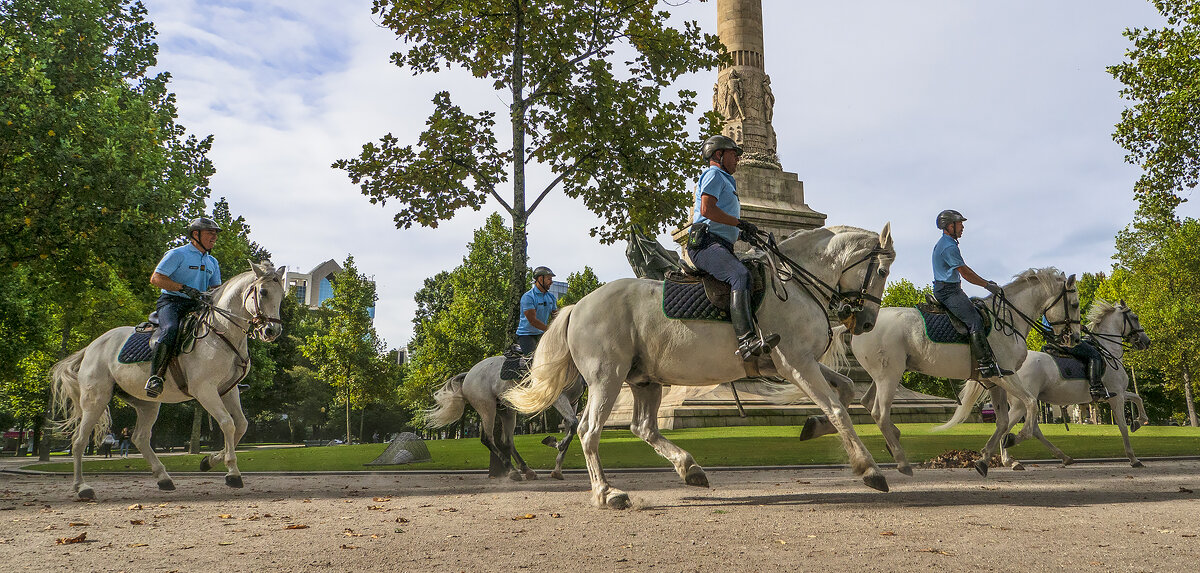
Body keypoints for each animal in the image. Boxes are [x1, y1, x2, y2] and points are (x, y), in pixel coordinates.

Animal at [50, 261, 289, 498]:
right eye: (263, 292)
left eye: (282, 295)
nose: (272, 330)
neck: (221, 333)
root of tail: (92, 346)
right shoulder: (205, 390)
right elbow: (227, 424)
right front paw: (232, 472)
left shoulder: (230, 390)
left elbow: (241, 425)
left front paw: (208, 461)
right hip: (96, 400)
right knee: (79, 441)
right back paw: (82, 487)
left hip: (147, 403)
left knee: (140, 438)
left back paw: (164, 478)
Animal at [427, 354, 585, 481]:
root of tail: (470, 373)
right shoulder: (559, 398)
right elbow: (573, 424)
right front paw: (556, 443)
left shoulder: (573, 403)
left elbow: (572, 427)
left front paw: (557, 469)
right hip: (487, 408)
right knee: (488, 439)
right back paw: (512, 470)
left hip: (507, 410)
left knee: (507, 441)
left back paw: (526, 469)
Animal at [504, 225, 892, 510]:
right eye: (882, 270)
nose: (867, 322)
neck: (794, 284)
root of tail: (576, 306)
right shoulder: (796, 363)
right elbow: (837, 408)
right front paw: (869, 469)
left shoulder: (797, 363)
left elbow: (846, 390)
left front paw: (813, 427)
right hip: (606, 379)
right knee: (589, 430)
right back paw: (607, 493)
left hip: (644, 380)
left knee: (642, 426)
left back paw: (689, 469)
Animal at [811, 267, 1084, 474]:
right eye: (1074, 304)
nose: (1074, 339)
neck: (1006, 321)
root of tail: (857, 325)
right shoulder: (1005, 374)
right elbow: (1030, 405)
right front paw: (1016, 438)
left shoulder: (995, 380)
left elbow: (1003, 421)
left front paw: (984, 459)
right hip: (890, 376)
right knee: (879, 411)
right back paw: (901, 460)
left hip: (882, 376)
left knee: (868, 402)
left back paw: (894, 440)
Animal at [945, 299, 1152, 469]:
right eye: (1135, 317)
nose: (1146, 341)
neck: (1108, 351)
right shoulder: (1116, 396)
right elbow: (1123, 426)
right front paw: (1133, 458)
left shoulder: (1119, 393)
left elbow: (1138, 399)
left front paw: (1139, 421)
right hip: (1021, 405)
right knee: (1008, 427)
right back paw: (1009, 459)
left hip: (1027, 403)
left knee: (1031, 429)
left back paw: (1062, 457)